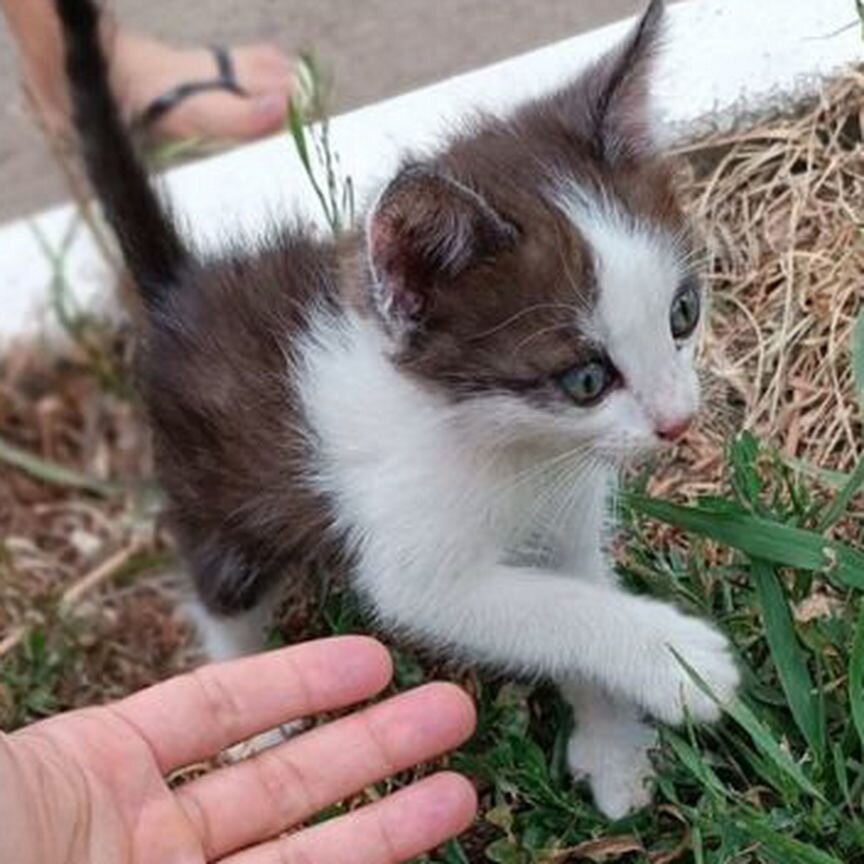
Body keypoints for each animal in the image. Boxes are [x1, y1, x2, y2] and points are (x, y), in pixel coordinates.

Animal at [57, 0, 740, 816]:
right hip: (219, 495)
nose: (679, 421)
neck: (520, 447)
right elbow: (543, 609)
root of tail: (181, 289)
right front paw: (677, 662)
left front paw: (610, 746)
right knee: (217, 592)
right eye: (585, 379)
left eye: (682, 313)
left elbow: (574, 590)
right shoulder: (415, 558)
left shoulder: (566, 518)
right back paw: (245, 698)